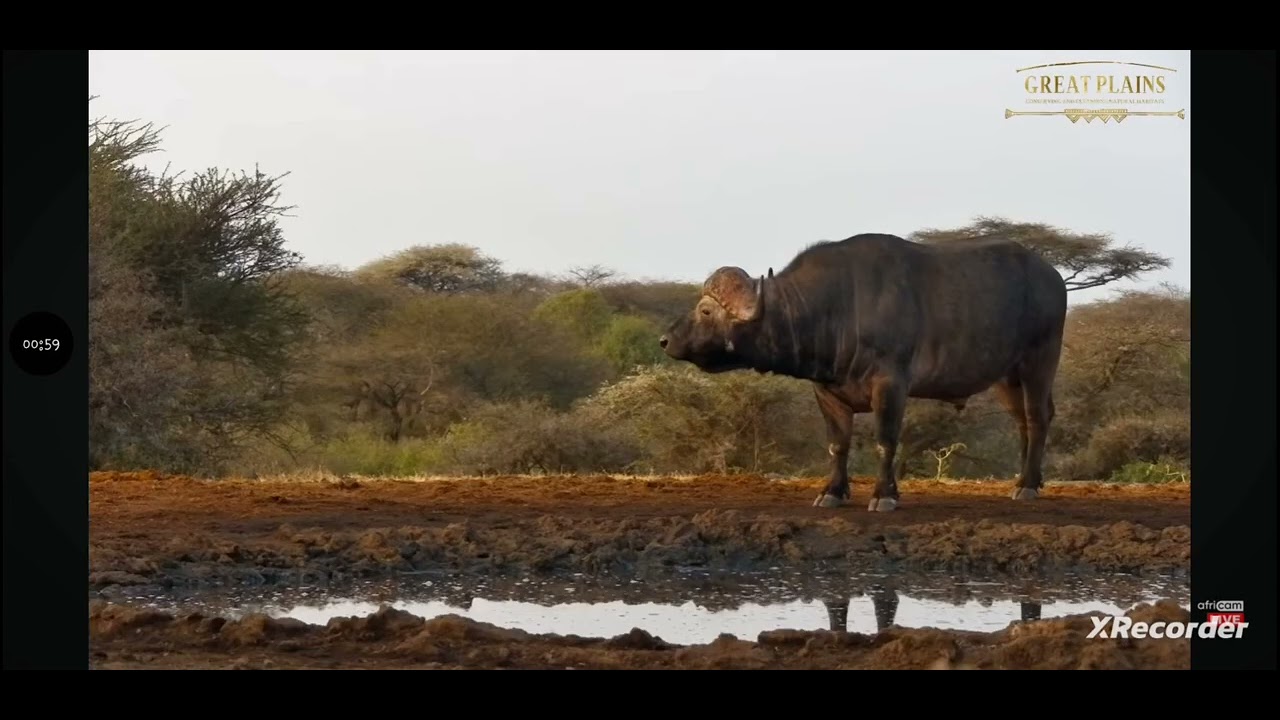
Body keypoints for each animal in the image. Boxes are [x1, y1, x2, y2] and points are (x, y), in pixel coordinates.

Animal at [659, 232, 1067, 511]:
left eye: (706, 311)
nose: (665, 340)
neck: (839, 306)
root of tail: (1052, 276)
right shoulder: (827, 392)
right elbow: (837, 444)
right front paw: (832, 491)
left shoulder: (890, 385)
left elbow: (885, 440)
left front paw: (884, 494)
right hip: (1006, 377)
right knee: (1023, 421)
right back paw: (1029, 478)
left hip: (1039, 362)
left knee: (1038, 417)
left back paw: (1027, 485)